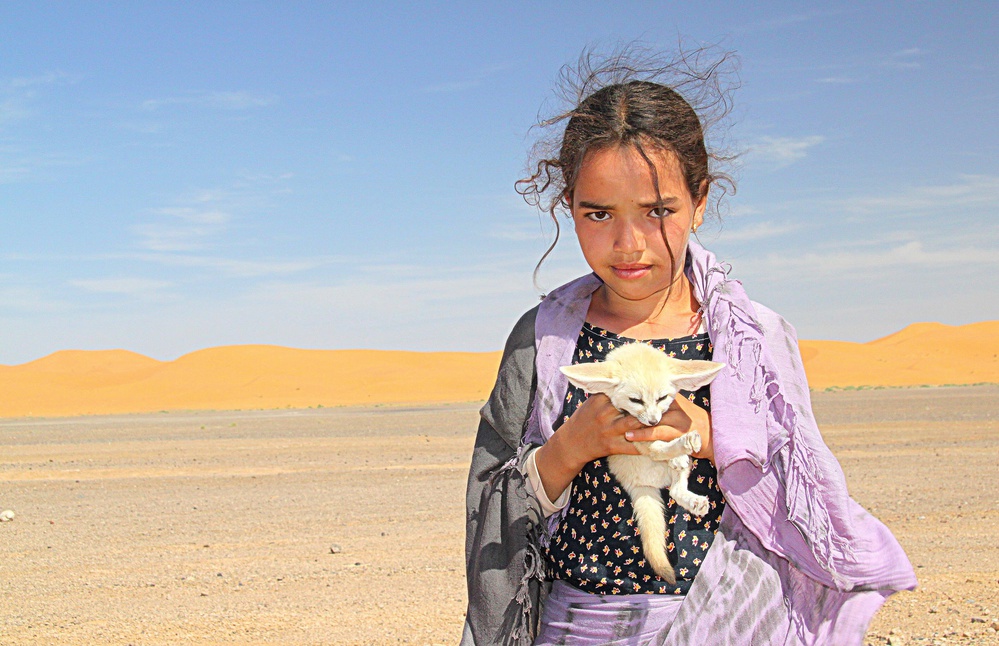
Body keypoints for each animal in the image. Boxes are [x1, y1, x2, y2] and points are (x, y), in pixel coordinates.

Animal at [564, 344, 720, 588]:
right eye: (636, 400)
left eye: (662, 397)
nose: (654, 422)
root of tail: (641, 484)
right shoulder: (634, 429)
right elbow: (656, 446)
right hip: (638, 445)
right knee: (658, 453)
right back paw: (681, 447)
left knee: (675, 489)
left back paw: (689, 490)